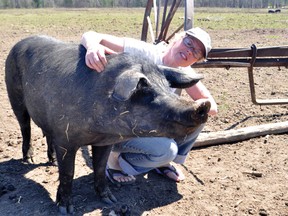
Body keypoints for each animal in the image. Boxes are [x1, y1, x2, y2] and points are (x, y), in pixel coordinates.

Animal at [5, 35, 212, 214]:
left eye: (166, 86)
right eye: (145, 90)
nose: (204, 105)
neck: (98, 130)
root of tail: (19, 43)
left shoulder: (104, 141)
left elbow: (99, 168)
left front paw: (110, 200)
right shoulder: (65, 138)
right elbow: (68, 173)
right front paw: (66, 209)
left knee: (46, 133)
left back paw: (52, 161)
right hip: (14, 94)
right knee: (25, 126)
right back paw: (29, 159)